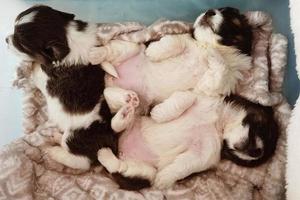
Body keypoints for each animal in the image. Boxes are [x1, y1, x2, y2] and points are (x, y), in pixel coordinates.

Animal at [6, 4, 152, 189]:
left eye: (21, 44)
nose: (6, 40)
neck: (67, 35)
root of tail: (109, 136)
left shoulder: (42, 75)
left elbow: (33, 72)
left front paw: (21, 72)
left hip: (75, 137)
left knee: (81, 160)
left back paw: (53, 151)